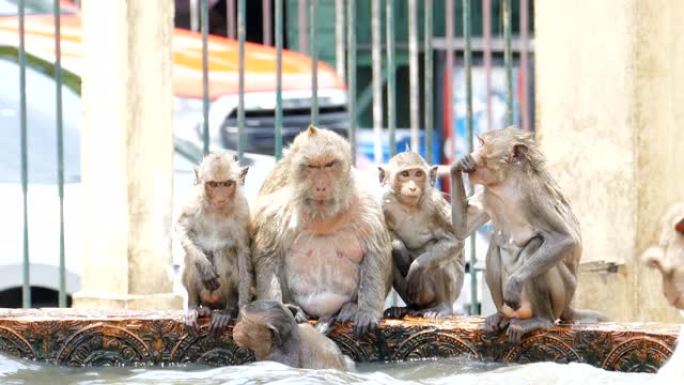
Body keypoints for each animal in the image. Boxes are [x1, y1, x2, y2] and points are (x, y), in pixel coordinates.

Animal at [175, 152, 252, 334]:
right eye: (213, 185)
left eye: (227, 184)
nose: (221, 197)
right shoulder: (193, 202)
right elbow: (181, 228)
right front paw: (204, 267)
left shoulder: (243, 211)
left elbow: (242, 253)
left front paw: (242, 312)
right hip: (204, 295)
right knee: (190, 257)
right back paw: (194, 307)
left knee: (224, 252)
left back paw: (228, 310)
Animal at [250, 124, 390, 334]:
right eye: (311, 166)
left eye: (329, 164)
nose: (321, 186)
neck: (324, 218)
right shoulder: (277, 209)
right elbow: (267, 255)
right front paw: (275, 311)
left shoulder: (368, 204)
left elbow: (376, 252)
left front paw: (367, 312)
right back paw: (294, 308)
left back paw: (350, 307)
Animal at [376, 152, 468, 316]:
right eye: (405, 174)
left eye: (418, 174)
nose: (412, 187)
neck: (409, 206)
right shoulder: (383, 201)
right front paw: (399, 248)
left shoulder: (434, 204)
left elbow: (455, 238)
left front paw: (417, 267)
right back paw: (407, 308)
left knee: (436, 255)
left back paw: (443, 306)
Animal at [448, 127, 604, 342]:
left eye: (483, 144)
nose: (472, 153)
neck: (507, 182)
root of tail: (568, 306)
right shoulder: (488, 193)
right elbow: (462, 229)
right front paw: (458, 165)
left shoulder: (533, 195)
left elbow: (565, 239)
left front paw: (514, 284)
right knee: (495, 245)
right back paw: (501, 317)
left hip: (562, 294)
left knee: (536, 245)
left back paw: (541, 320)